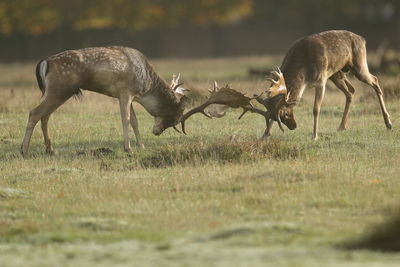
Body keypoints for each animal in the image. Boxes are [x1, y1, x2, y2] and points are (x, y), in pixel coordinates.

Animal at [20, 45, 191, 155]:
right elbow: (126, 119)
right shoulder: (125, 91)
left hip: (57, 92)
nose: (157, 132)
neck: (145, 86)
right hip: (59, 88)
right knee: (35, 113)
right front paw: (128, 148)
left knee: (45, 116)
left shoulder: (127, 95)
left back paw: (50, 149)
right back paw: (24, 150)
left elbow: (134, 121)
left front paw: (141, 146)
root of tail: (45, 62)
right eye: (175, 115)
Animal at [258, 30, 392, 140]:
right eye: (276, 117)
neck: (304, 76)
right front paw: (265, 135)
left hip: (359, 65)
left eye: (285, 113)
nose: (293, 126)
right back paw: (341, 126)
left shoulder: (321, 80)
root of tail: (363, 39)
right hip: (336, 74)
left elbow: (316, 109)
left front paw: (314, 136)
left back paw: (389, 123)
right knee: (351, 91)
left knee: (375, 80)